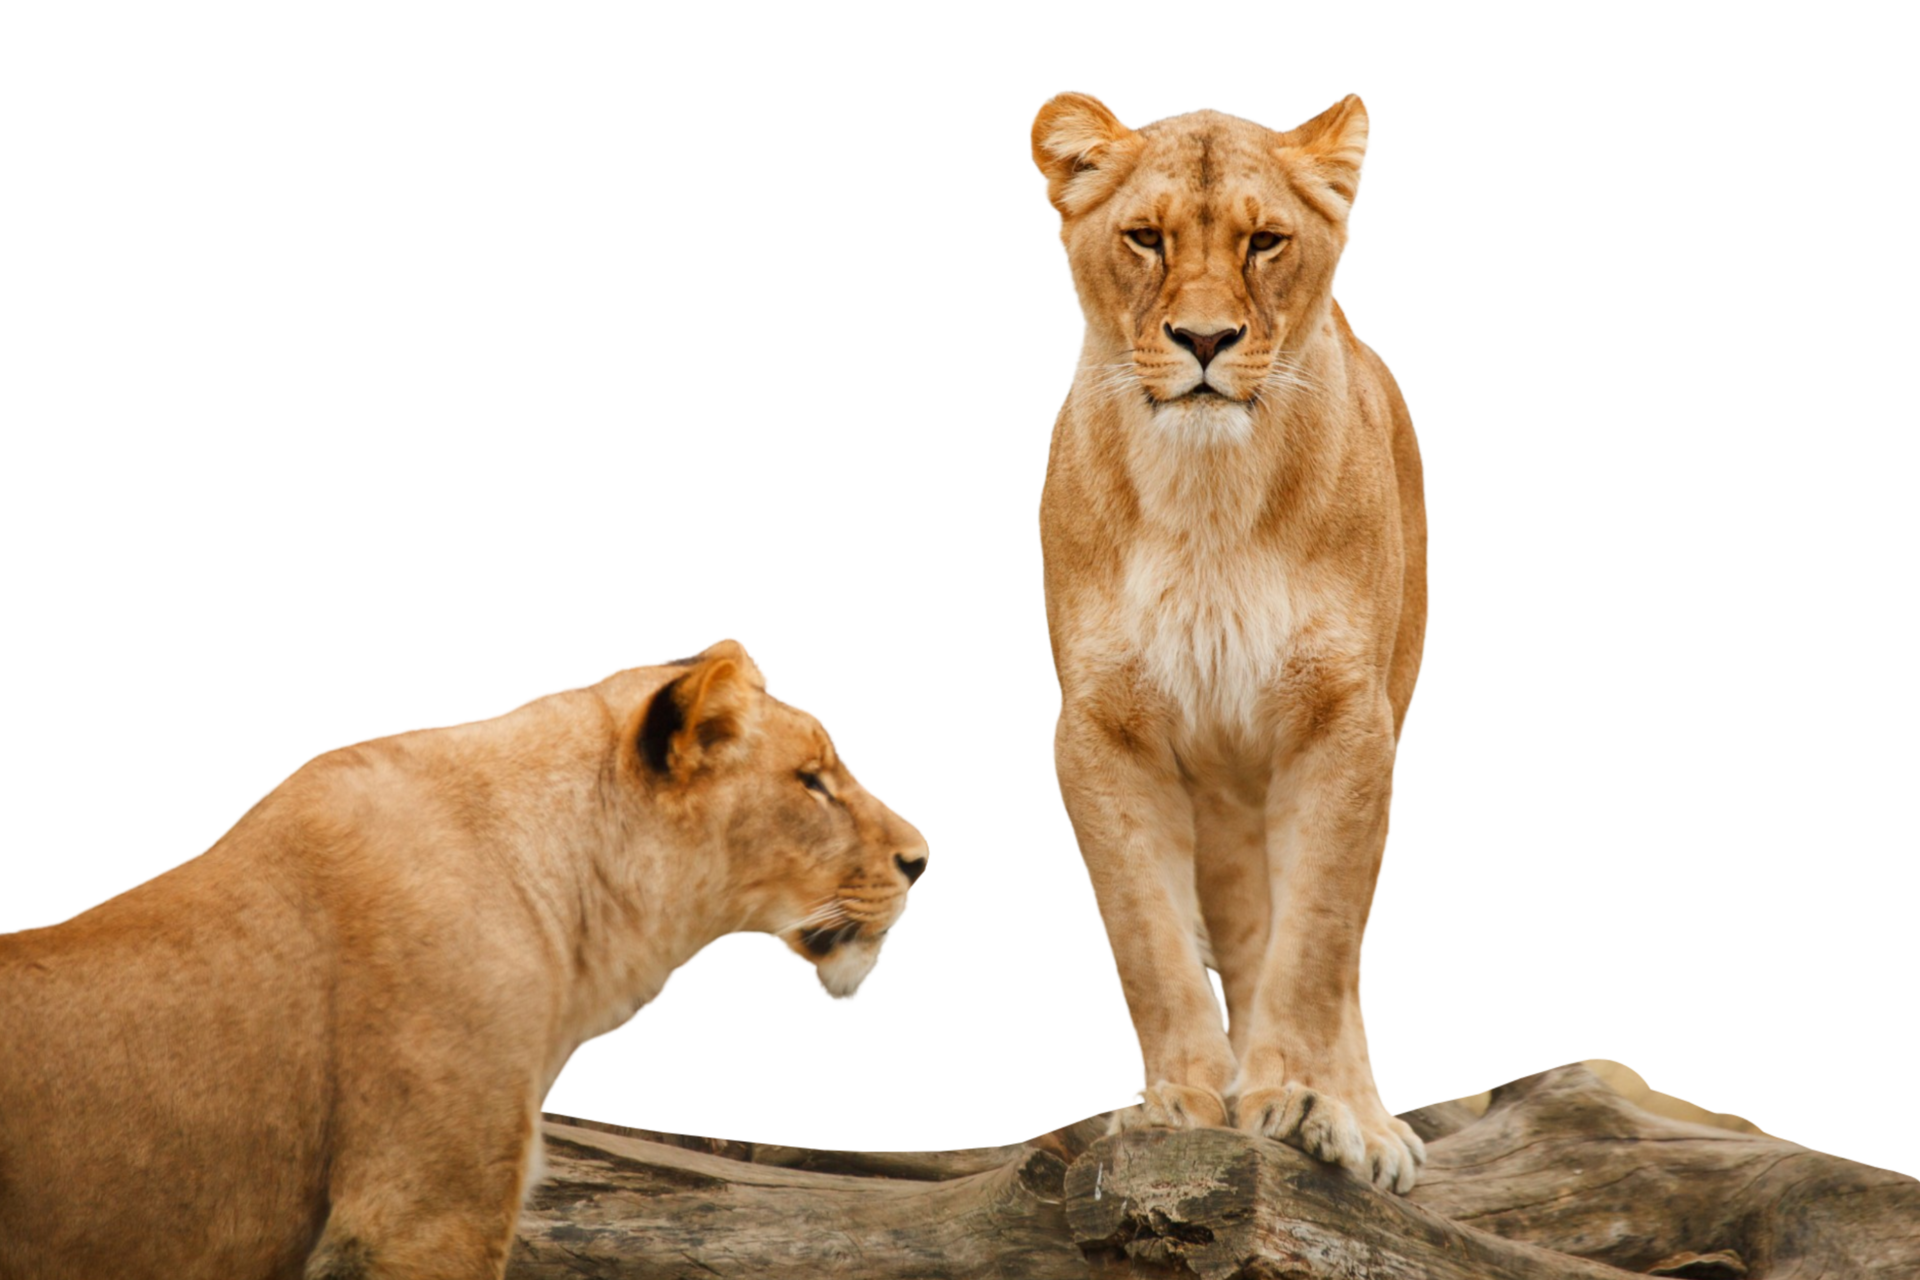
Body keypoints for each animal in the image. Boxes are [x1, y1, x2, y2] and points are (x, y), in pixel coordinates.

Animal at [1028, 90, 1431, 1192]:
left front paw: (1297, 1097)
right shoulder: (1099, 732)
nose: (1205, 338)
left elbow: (1318, 942)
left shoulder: (1344, 721)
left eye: (1263, 241)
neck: (1207, 494)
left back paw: (1362, 1121)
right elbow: (1149, 937)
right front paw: (1181, 1098)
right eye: (1145, 237)